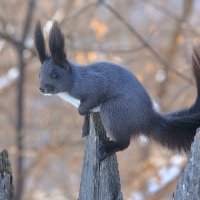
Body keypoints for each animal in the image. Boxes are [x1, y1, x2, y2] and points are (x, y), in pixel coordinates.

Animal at [34, 20, 200, 161]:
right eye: (39, 74)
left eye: (55, 75)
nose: (41, 88)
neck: (72, 81)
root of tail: (148, 119)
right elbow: (87, 113)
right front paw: (85, 125)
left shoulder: (90, 84)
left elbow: (91, 98)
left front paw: (82, 112)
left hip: (114, 110)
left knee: (124, 143)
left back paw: (107, 148)